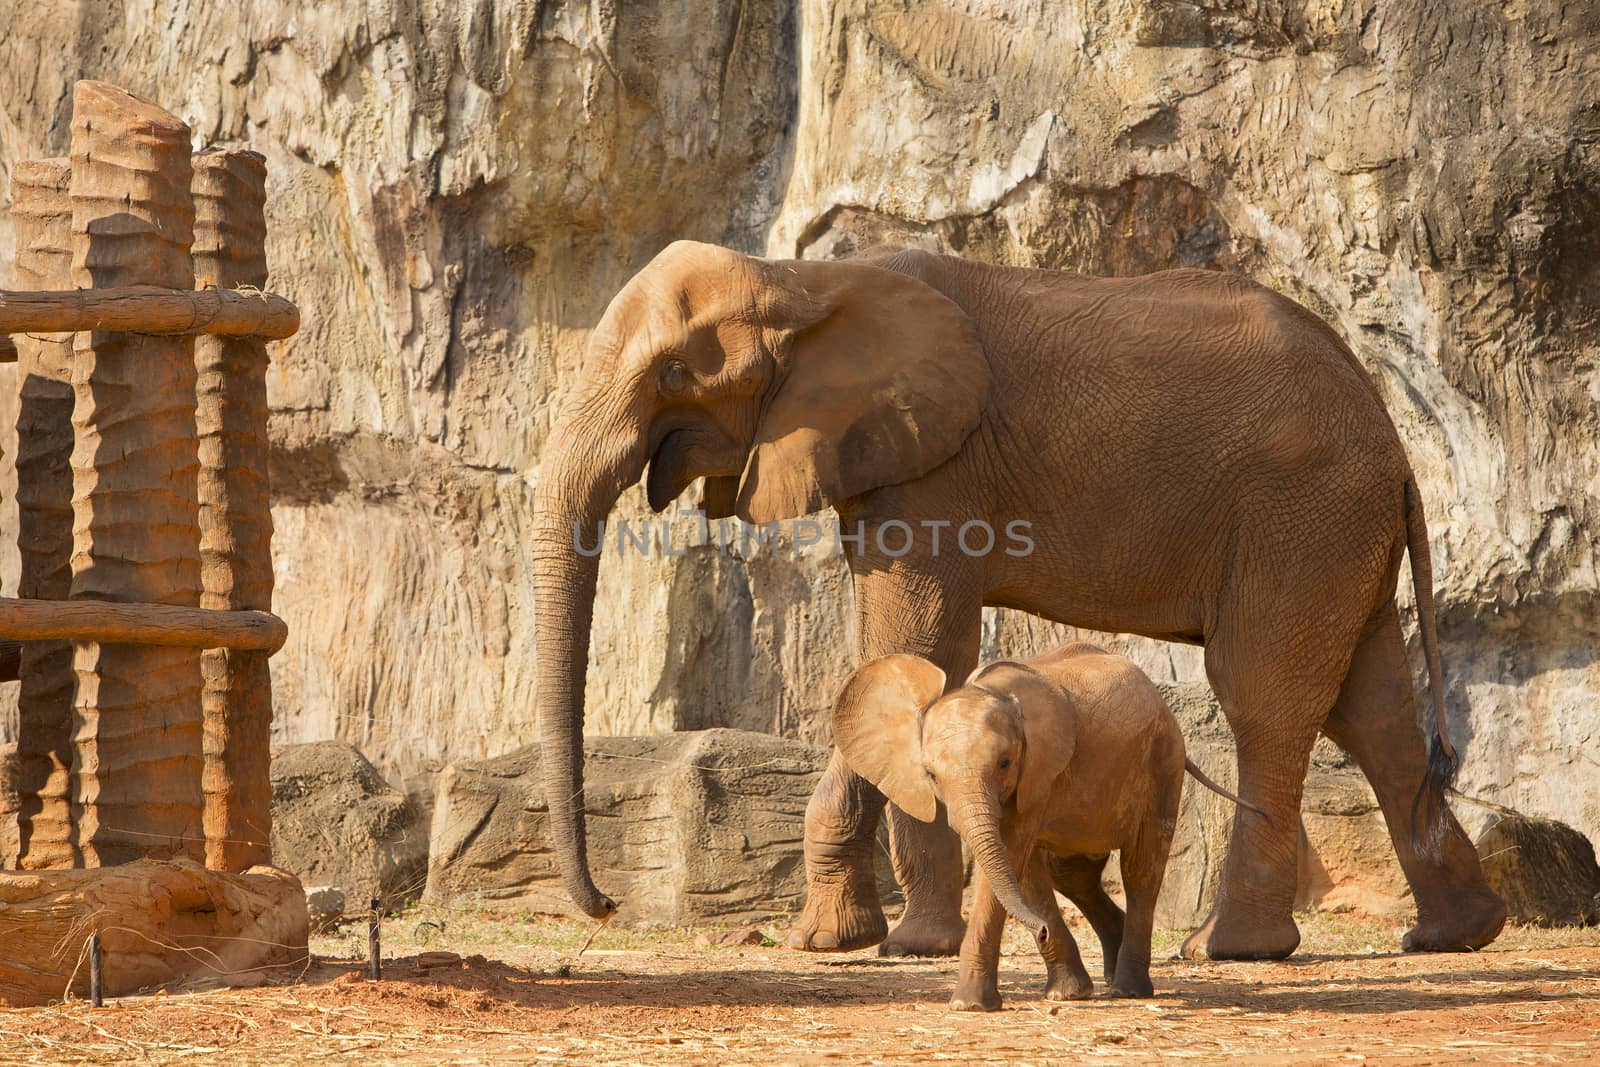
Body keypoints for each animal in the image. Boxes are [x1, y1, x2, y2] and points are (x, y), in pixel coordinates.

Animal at [531, 241, 1504, 959]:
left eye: (671, 374)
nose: (606, 906)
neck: (801, 280)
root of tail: (1396, 441)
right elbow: (911, 657)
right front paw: (860, 942)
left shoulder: (936, 466)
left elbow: (920, 647)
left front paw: (880, 945)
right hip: (1338, 531)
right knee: (1371, 707)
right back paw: (1455, 935)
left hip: (1299, 513)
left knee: (1265, 698)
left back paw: (1229, 949)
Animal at [832, 643, 1254, 1011]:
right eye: (931, 774)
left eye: (1005, 762)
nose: (1040, 931)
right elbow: (1024, 871)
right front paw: (1067, 994)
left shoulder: (1038, 770)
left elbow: (1012, 854)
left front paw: (970, 1006)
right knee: (1070, 874)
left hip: (1163, 760)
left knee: (1141, 868)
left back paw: (1128, 989)